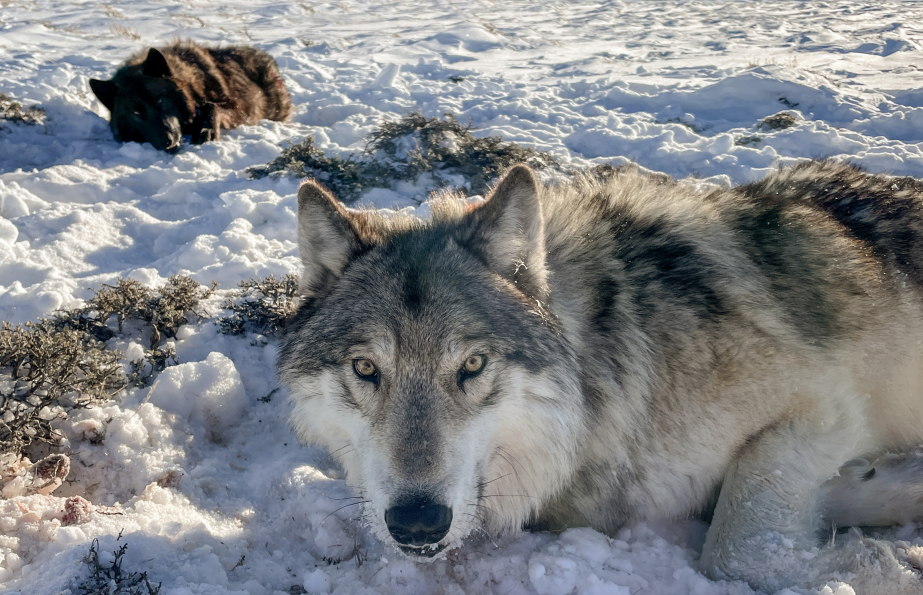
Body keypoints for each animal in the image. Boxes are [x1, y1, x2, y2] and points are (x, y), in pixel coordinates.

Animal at [89, 41, 292, 154]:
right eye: (136, 113)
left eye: (160, 101)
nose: (167, 141)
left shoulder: (237, 109)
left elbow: (210, 106)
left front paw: (206, 130)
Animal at [276, 161, 923, 592]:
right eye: (366, 369)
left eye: (472, 366)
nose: (416, 522)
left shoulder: (825, 406)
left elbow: (737, 548)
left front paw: (880, 562)